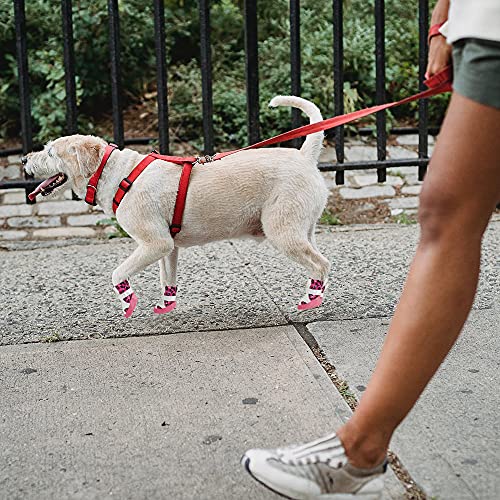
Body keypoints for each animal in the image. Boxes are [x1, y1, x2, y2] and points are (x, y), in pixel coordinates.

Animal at [23, 95, 330, 318]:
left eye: (50, 152)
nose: (24, 160)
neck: (116, 173)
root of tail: (305, 156)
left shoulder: (154, 243)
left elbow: (118, 273)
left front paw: (128, 302)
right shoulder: (167, 248)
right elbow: (166, 277)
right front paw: (166, 305)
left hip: (283, 231)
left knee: (321, 264)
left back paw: (310, 302)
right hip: (304, 229)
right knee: (320, 262)